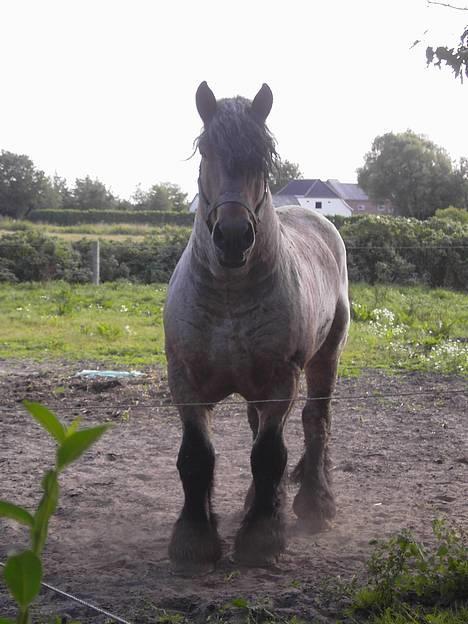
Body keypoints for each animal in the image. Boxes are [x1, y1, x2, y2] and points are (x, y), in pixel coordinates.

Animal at [163, 81, 350, 576]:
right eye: (207, 150)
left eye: (262, 158)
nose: (232, 237)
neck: (229, 298)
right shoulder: (185, 382)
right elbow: (197, 456)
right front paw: (195, 540)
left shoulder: (281, 380)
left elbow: (268, 456)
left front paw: (262, 539)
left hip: (325, 359)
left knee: (315, 423)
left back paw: (314, 505)